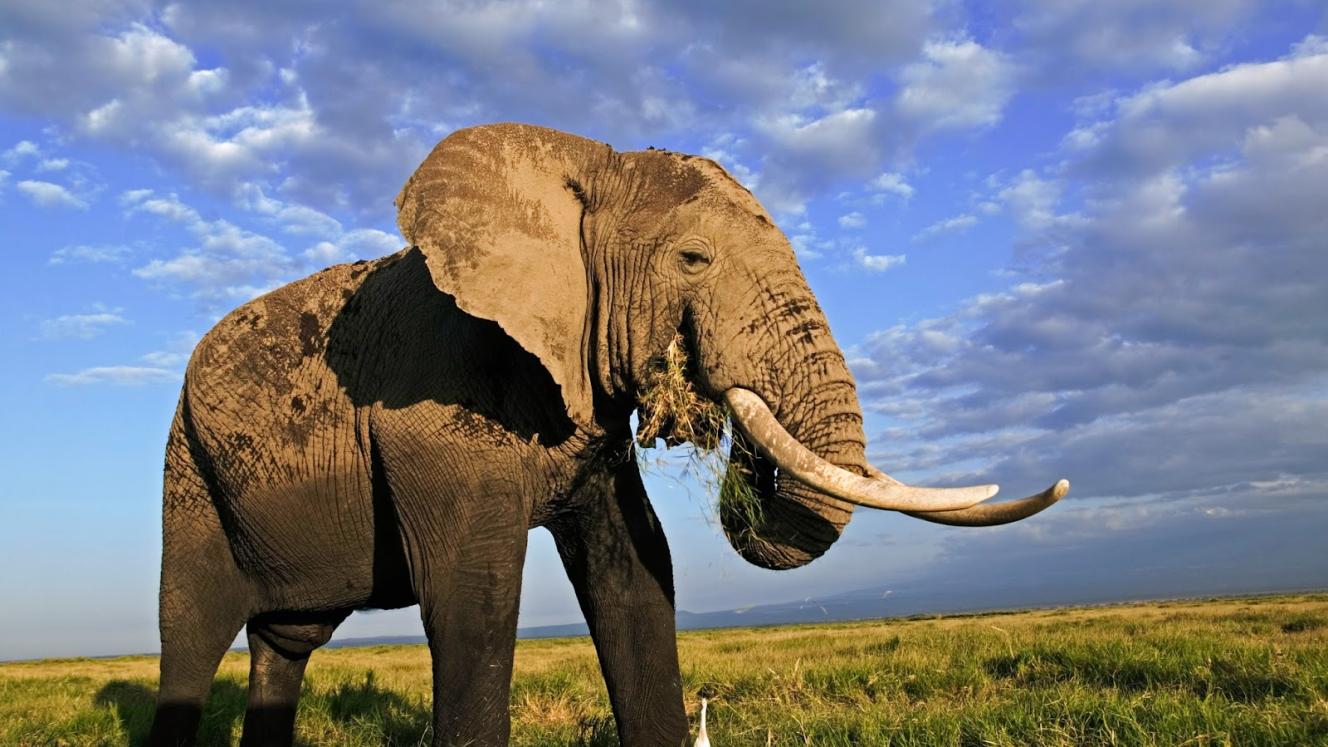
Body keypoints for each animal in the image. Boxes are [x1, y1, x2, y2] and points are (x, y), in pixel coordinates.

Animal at [147, 123, 1069, 746]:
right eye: (693, 259)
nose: (702, 390)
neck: (583, 164)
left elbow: (635, 570)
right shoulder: (431, 406)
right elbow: (473, 595)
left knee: (284, 645)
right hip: (185, 467)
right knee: (189, 636)